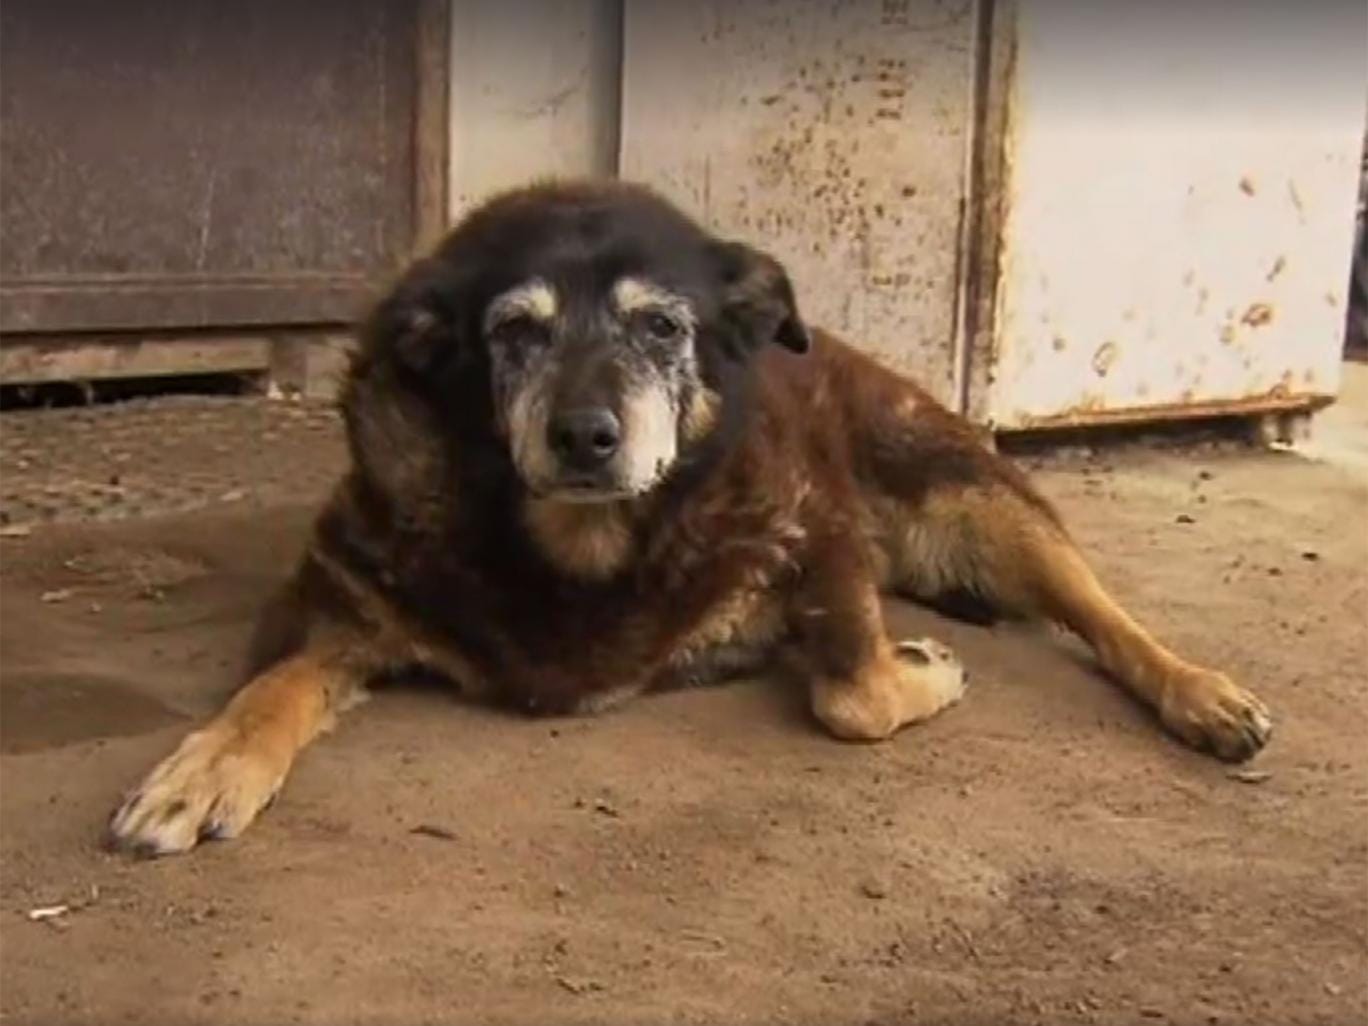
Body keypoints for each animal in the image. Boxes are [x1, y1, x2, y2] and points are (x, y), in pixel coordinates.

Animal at [106, 180, 1269, 853]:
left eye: (661, 327)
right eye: (513, 333)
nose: (584, 436)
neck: (588, 553)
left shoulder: (817, 526)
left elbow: (854, 694)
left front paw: (919, 669)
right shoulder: (340, 600)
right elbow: (270, 690)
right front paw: (203, 769)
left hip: (977, 499)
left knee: (1106, 616)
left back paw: (1204, 696)